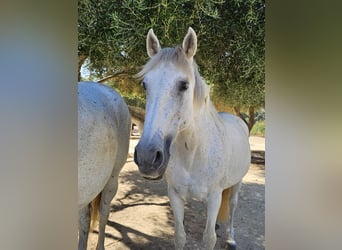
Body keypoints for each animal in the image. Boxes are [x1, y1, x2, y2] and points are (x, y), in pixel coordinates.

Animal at [134, 28, 251, 249]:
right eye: (145, 85)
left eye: (184, 85)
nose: (147, 156)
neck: (193, 154)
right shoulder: (175, 195)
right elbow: (180, 236)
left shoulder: (214, 197)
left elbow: (209, 238)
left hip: (237, 183)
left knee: (232, 207)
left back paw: (230, 238)